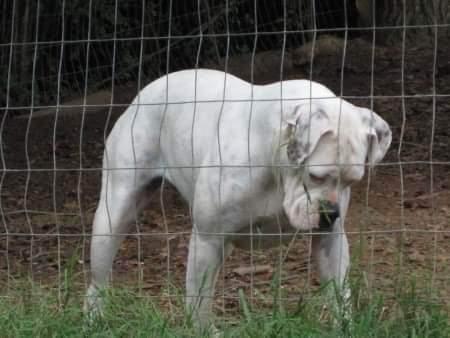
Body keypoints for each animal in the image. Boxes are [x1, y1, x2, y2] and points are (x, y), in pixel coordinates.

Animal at [83, 68, 390, 328]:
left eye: (353, 181)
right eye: (315, 176)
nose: (330, 213)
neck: (273, 161)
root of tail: (146, 91)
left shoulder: (330, 240)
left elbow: (340, 296)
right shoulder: (207, 240)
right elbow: (199, 304)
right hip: (112, 217)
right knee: (98, 280)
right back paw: (94, 319)